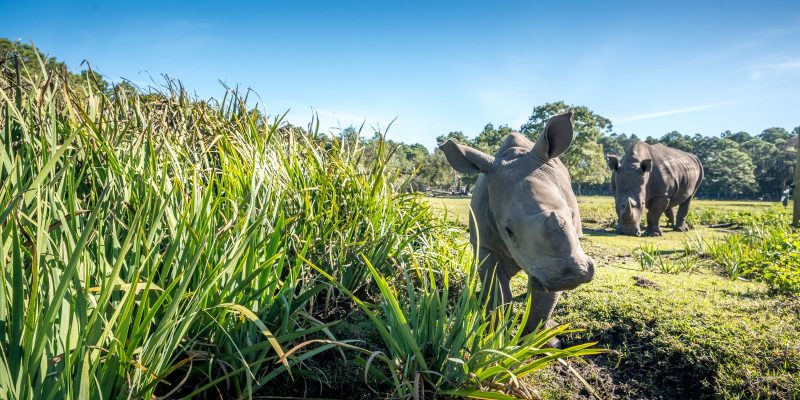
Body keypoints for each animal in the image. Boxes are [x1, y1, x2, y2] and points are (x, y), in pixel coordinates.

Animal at [439, 111, 594, 334]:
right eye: (508, 230)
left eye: (572, 215)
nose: (572, 275)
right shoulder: (485, 243)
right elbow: (498, 294)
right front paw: (494, 332)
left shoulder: (550, 261)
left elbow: (542, 303)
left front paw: (532, 338)